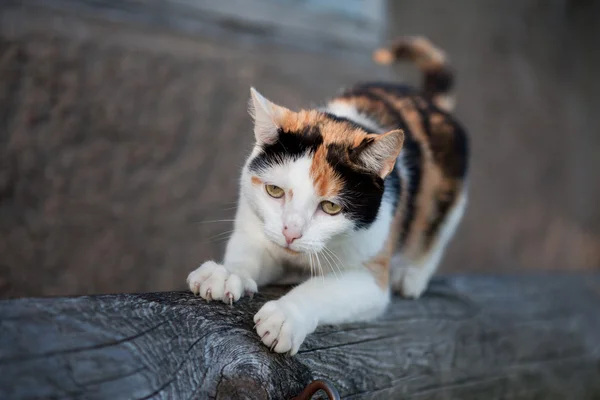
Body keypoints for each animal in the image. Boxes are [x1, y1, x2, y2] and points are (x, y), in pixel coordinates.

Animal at [188, 36, 468, 354]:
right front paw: (226, 274)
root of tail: (424, 99)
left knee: (438, 230)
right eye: (274, 190)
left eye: (331, 207)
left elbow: (322, 289)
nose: (290, 233)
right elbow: (249, 253)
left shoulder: (371, 275)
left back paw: (411, 275)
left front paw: (286, 316)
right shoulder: (256, 226)